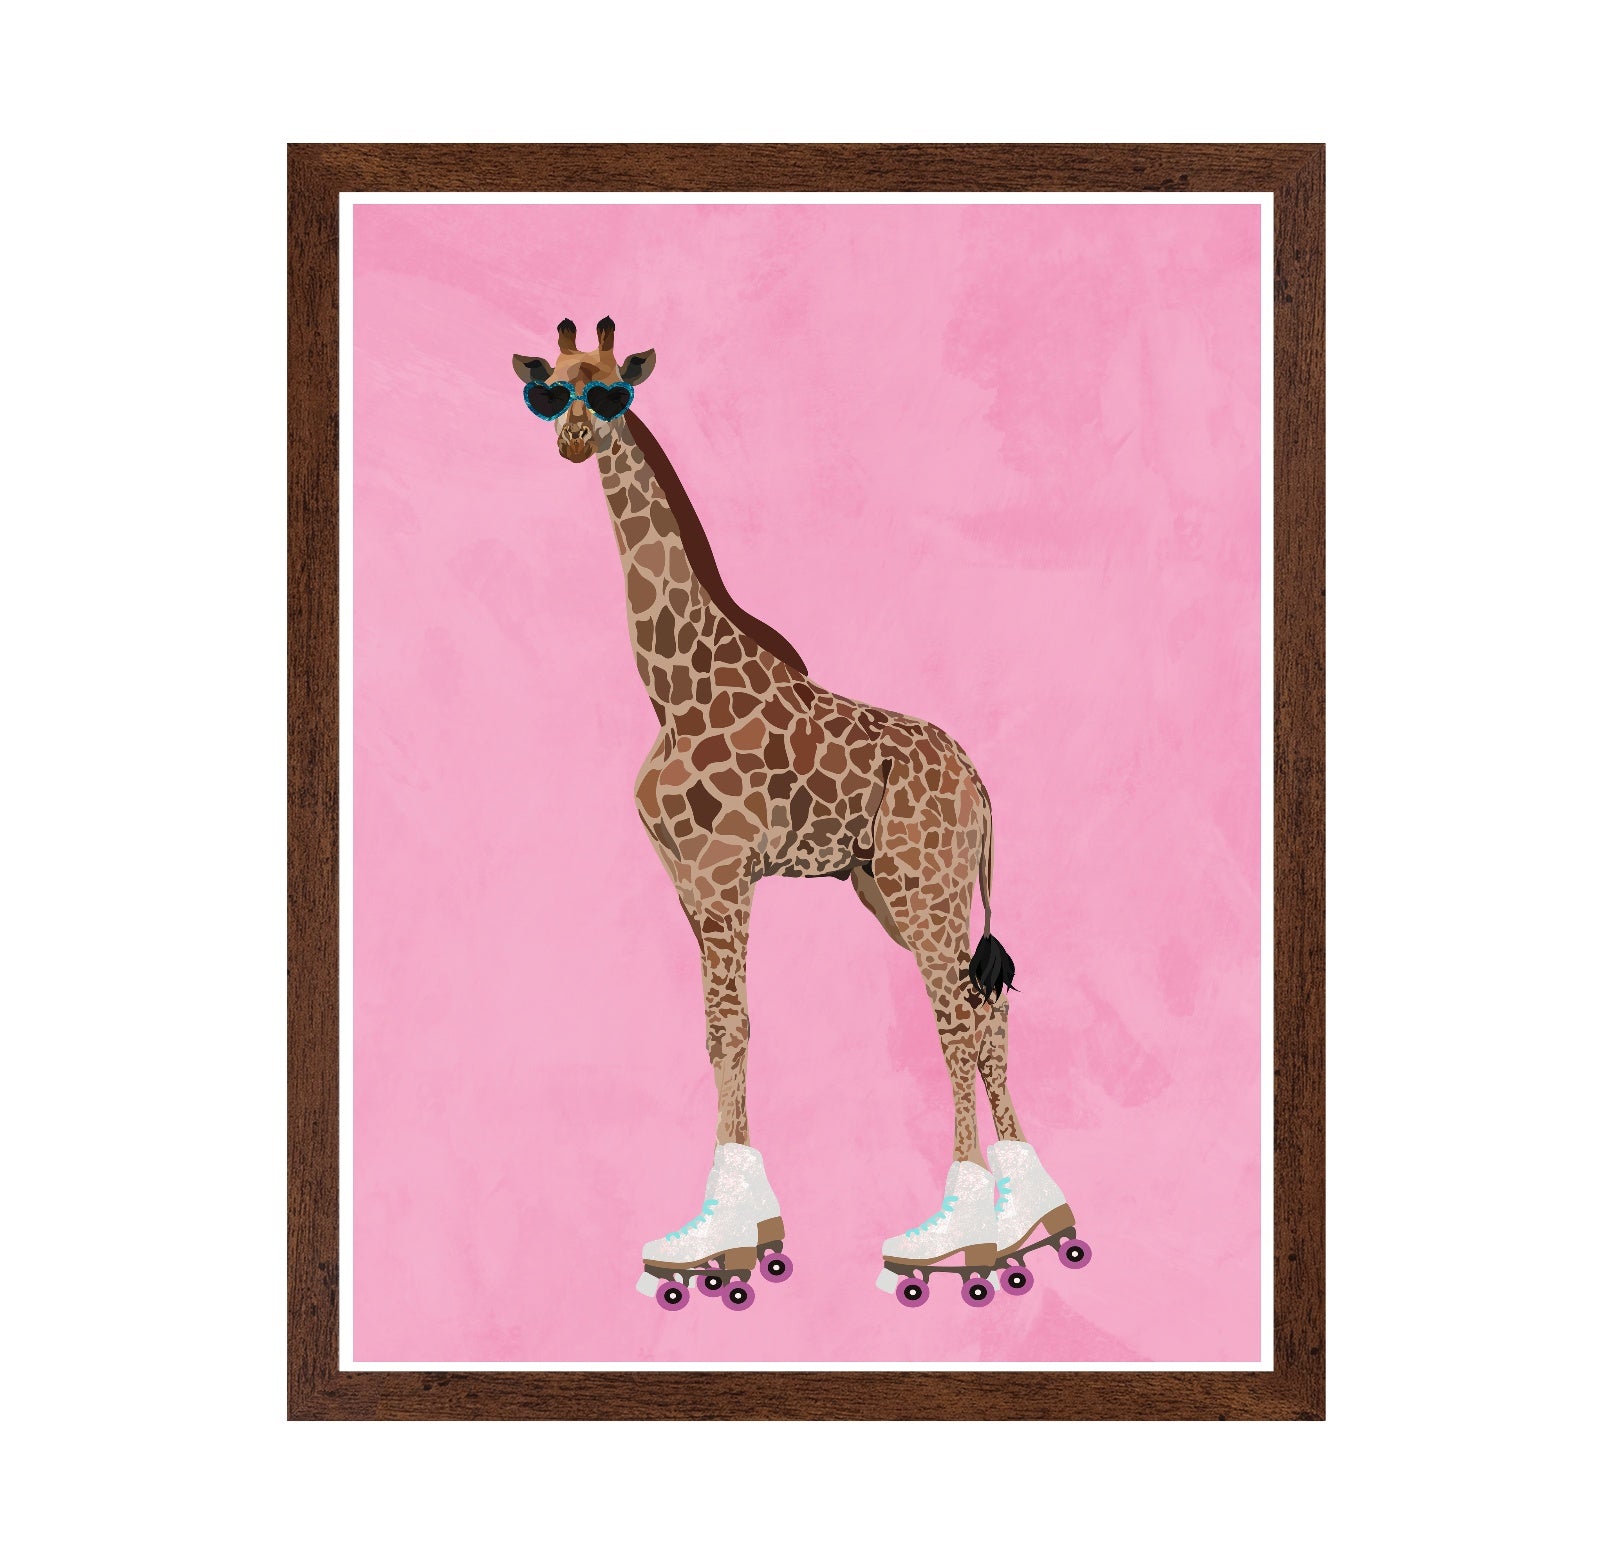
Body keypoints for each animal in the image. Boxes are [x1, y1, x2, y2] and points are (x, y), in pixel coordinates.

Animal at [513, 319, 1087, 1311]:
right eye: (550, 390)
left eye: (613, 391)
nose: (575, 440)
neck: (674, 688)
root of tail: (979, 783)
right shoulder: (687, 880)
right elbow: (716, 1030)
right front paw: (722, 1232)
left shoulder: (723, 871)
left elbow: (733, 1027)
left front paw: (729, 1244)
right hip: (889, 892)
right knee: (986, 1010)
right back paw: (1032, 1221)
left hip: (924, 886)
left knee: (956, 1017)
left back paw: (964, 1242)